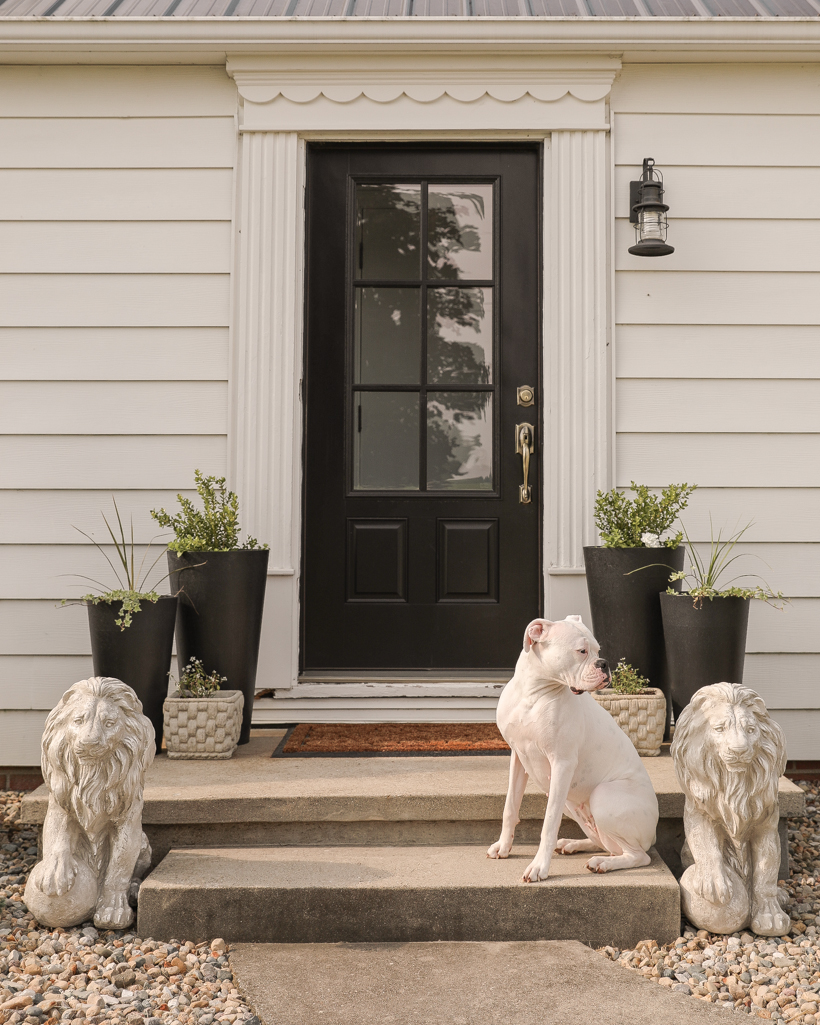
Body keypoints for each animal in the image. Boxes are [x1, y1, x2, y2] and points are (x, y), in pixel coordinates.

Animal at [489, 615, 656, 881]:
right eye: (582, 651)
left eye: (598, 650)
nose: (604, 663)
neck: (533, 694)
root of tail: (653, 835)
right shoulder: (518, 757)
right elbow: (510, 806)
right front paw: (504, 847)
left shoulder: (562, 764)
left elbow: (549, 823)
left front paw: (539, 867)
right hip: (573, 806)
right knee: (605, 843)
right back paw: (572, 844)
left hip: (603, 796)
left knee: (638, 856)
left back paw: (602, 862)